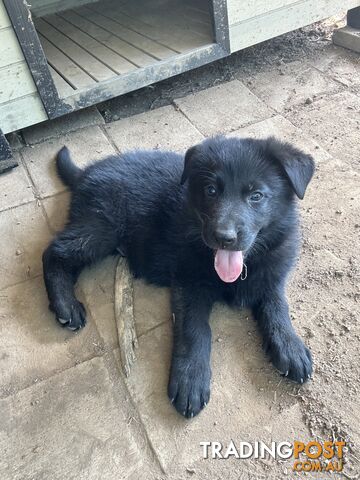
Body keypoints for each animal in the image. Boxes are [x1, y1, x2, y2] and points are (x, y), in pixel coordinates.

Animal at [42, 135, 314, 416]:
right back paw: (66, 305)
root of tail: (86, 172)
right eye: (211, 190)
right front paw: (190, 378)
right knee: (54, 252)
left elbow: (277, 306)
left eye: (256, 196)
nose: (223, 237)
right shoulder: (188, 283)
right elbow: (195, 329)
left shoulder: (272, 275)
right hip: (101, 227)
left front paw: (290, 345)